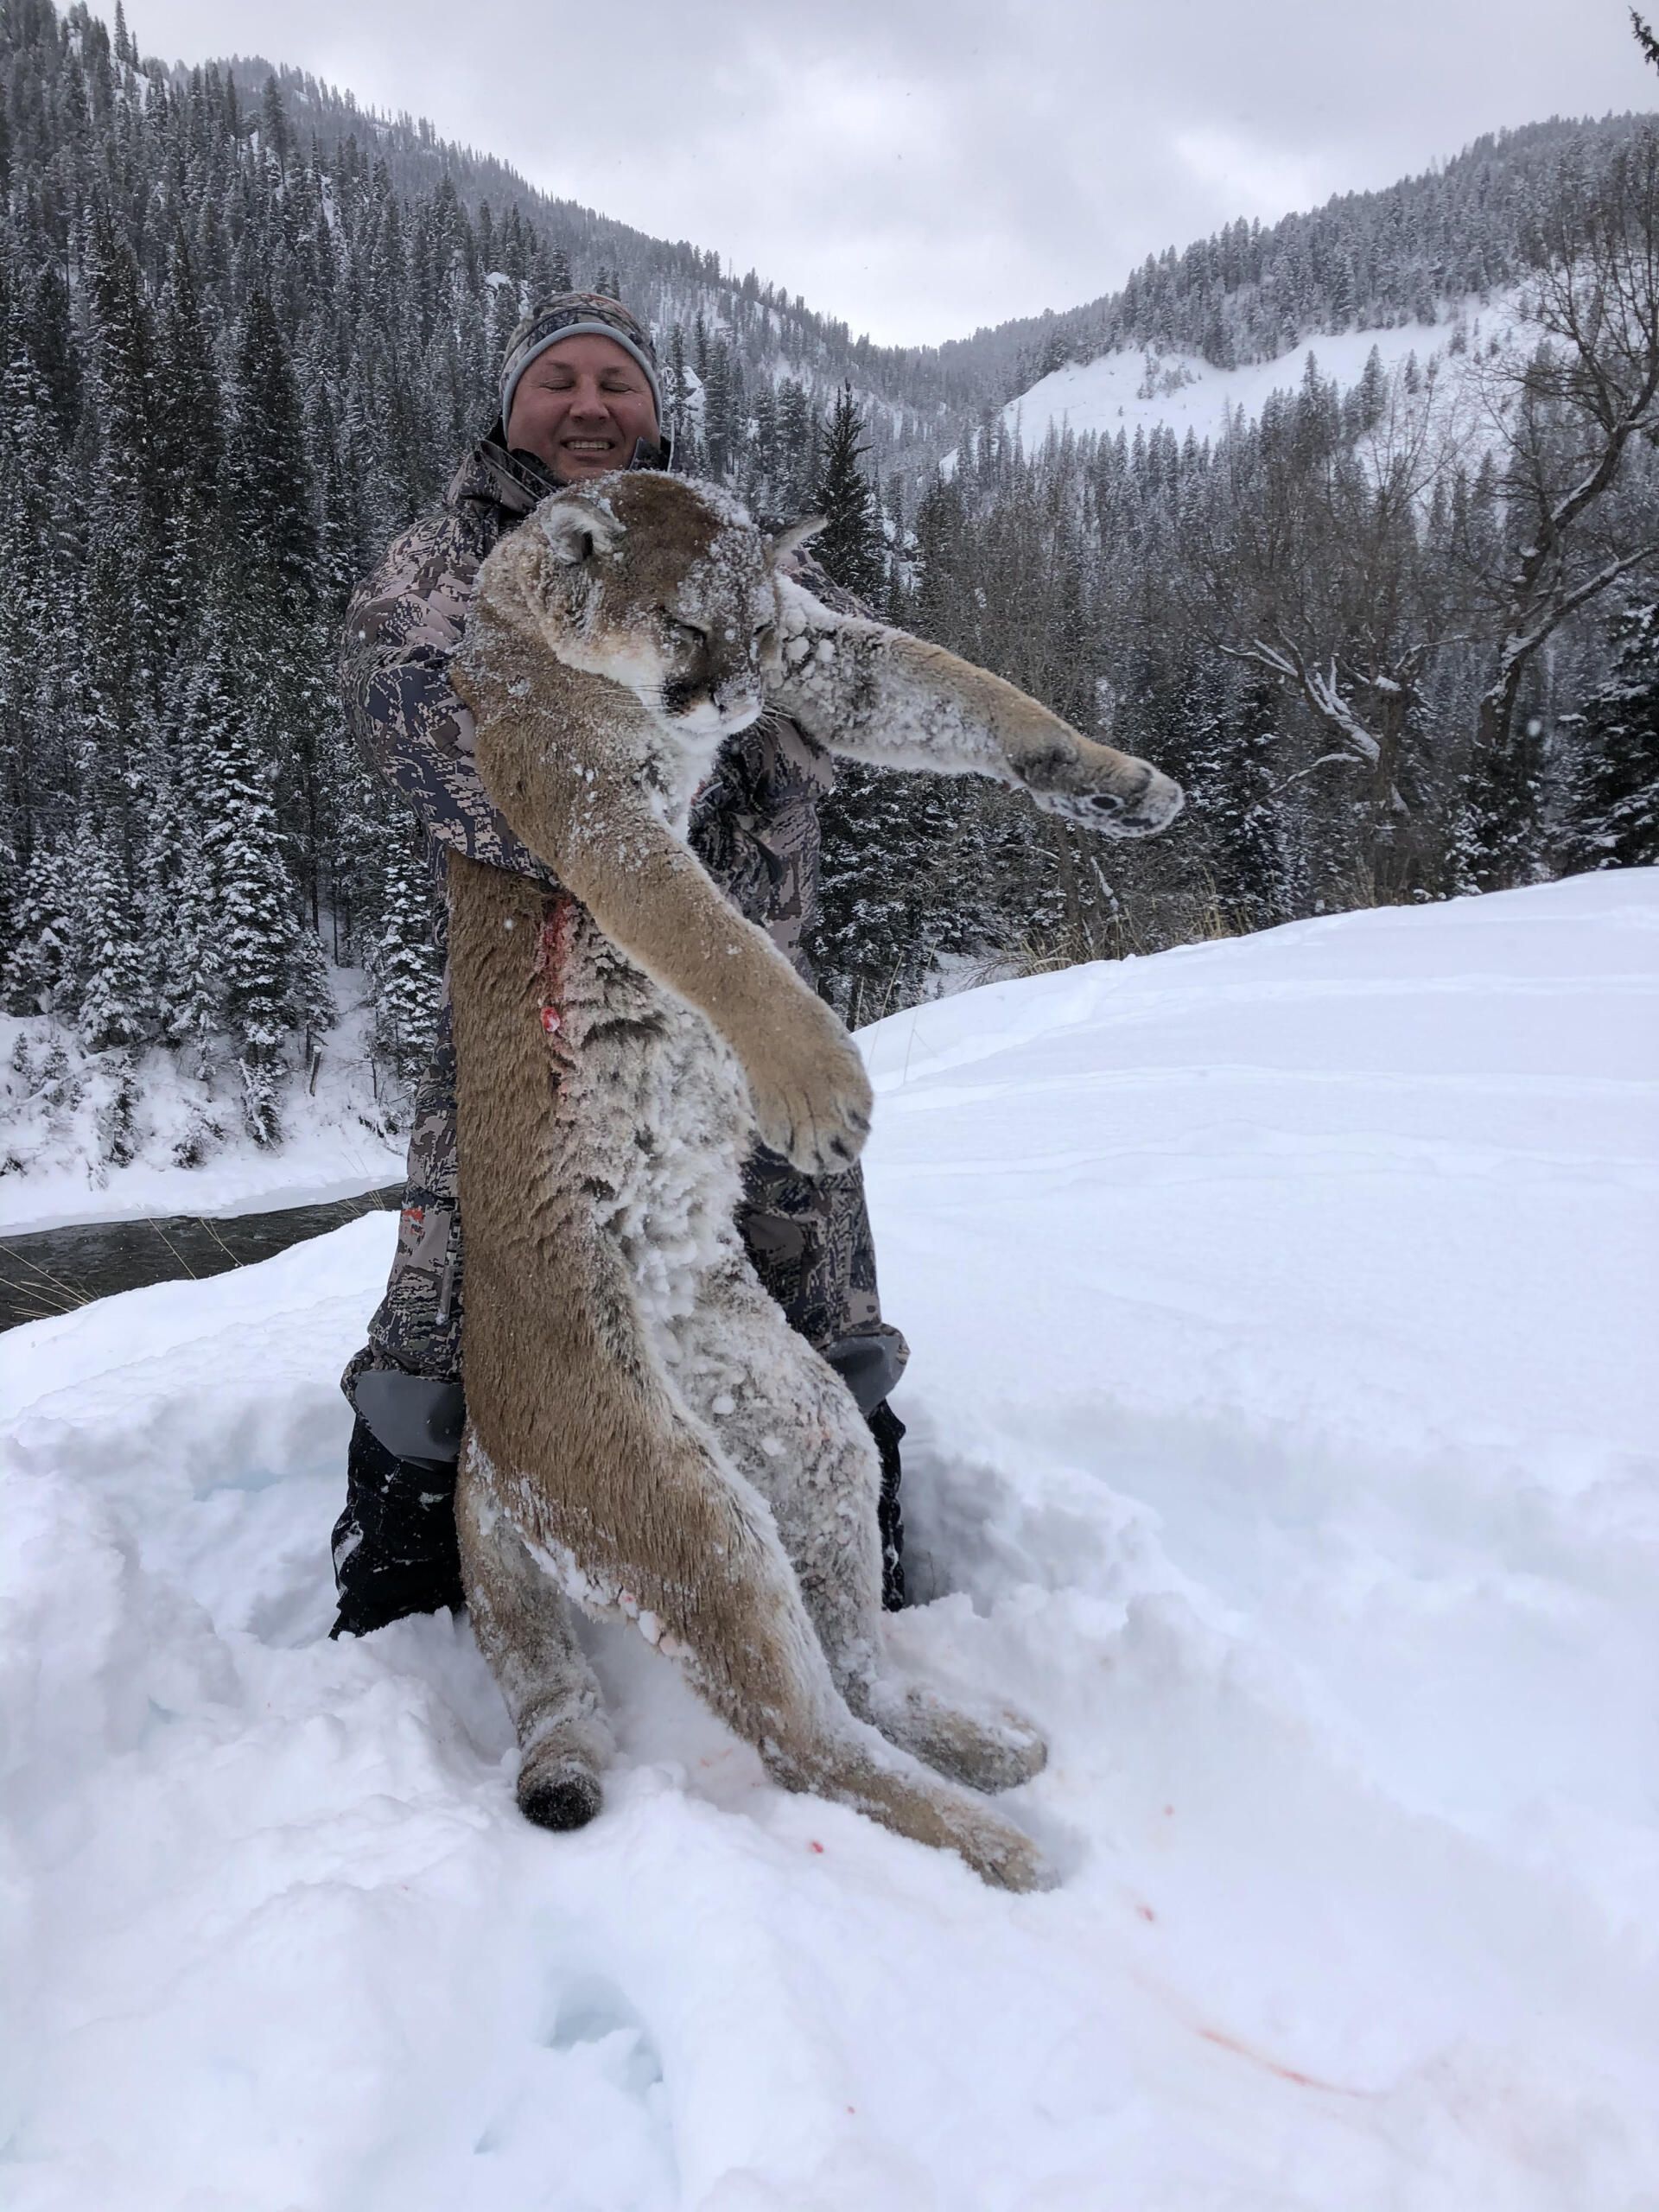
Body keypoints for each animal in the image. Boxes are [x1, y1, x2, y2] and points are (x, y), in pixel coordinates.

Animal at [446, 471, 1181, 1892]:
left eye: (748, 623)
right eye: (682, 623)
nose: (733, 700)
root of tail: (484, 1453)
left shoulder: (817, 650)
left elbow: (968, 693)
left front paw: (1116, 781)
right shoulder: (585, 807)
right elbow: (713, 936)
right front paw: (817, 1086)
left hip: (803, 1424)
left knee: (850, 1663)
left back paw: (975, 1746)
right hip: (681, 1506)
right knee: (802, 1737)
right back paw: (1000, 1848)